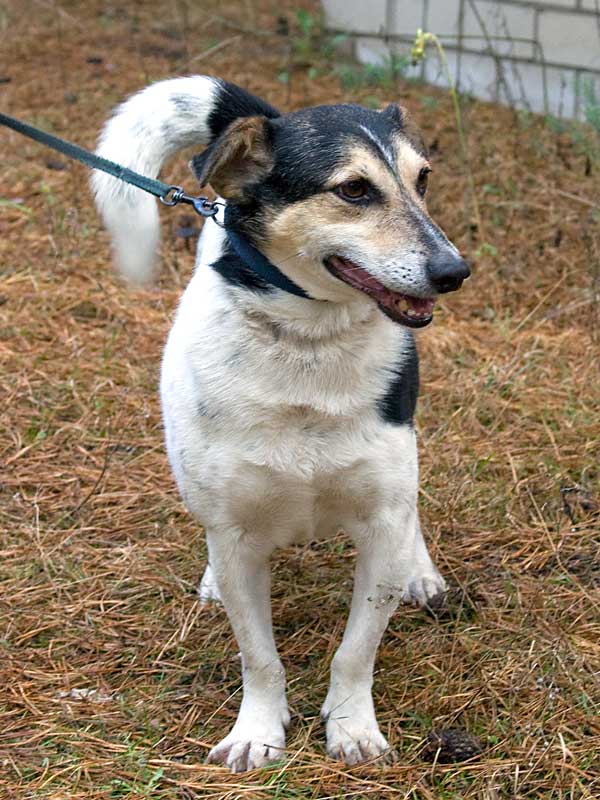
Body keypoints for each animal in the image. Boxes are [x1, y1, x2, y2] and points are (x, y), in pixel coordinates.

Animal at [92, 75, 469, 773]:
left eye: (423, 179)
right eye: (354, 190)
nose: (455, 271)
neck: (309, 346)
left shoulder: (382, 520)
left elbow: (355, 651)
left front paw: (351, 727)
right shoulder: (238, 537)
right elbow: (259, 656)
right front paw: (258, 731)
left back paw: (421, 572)